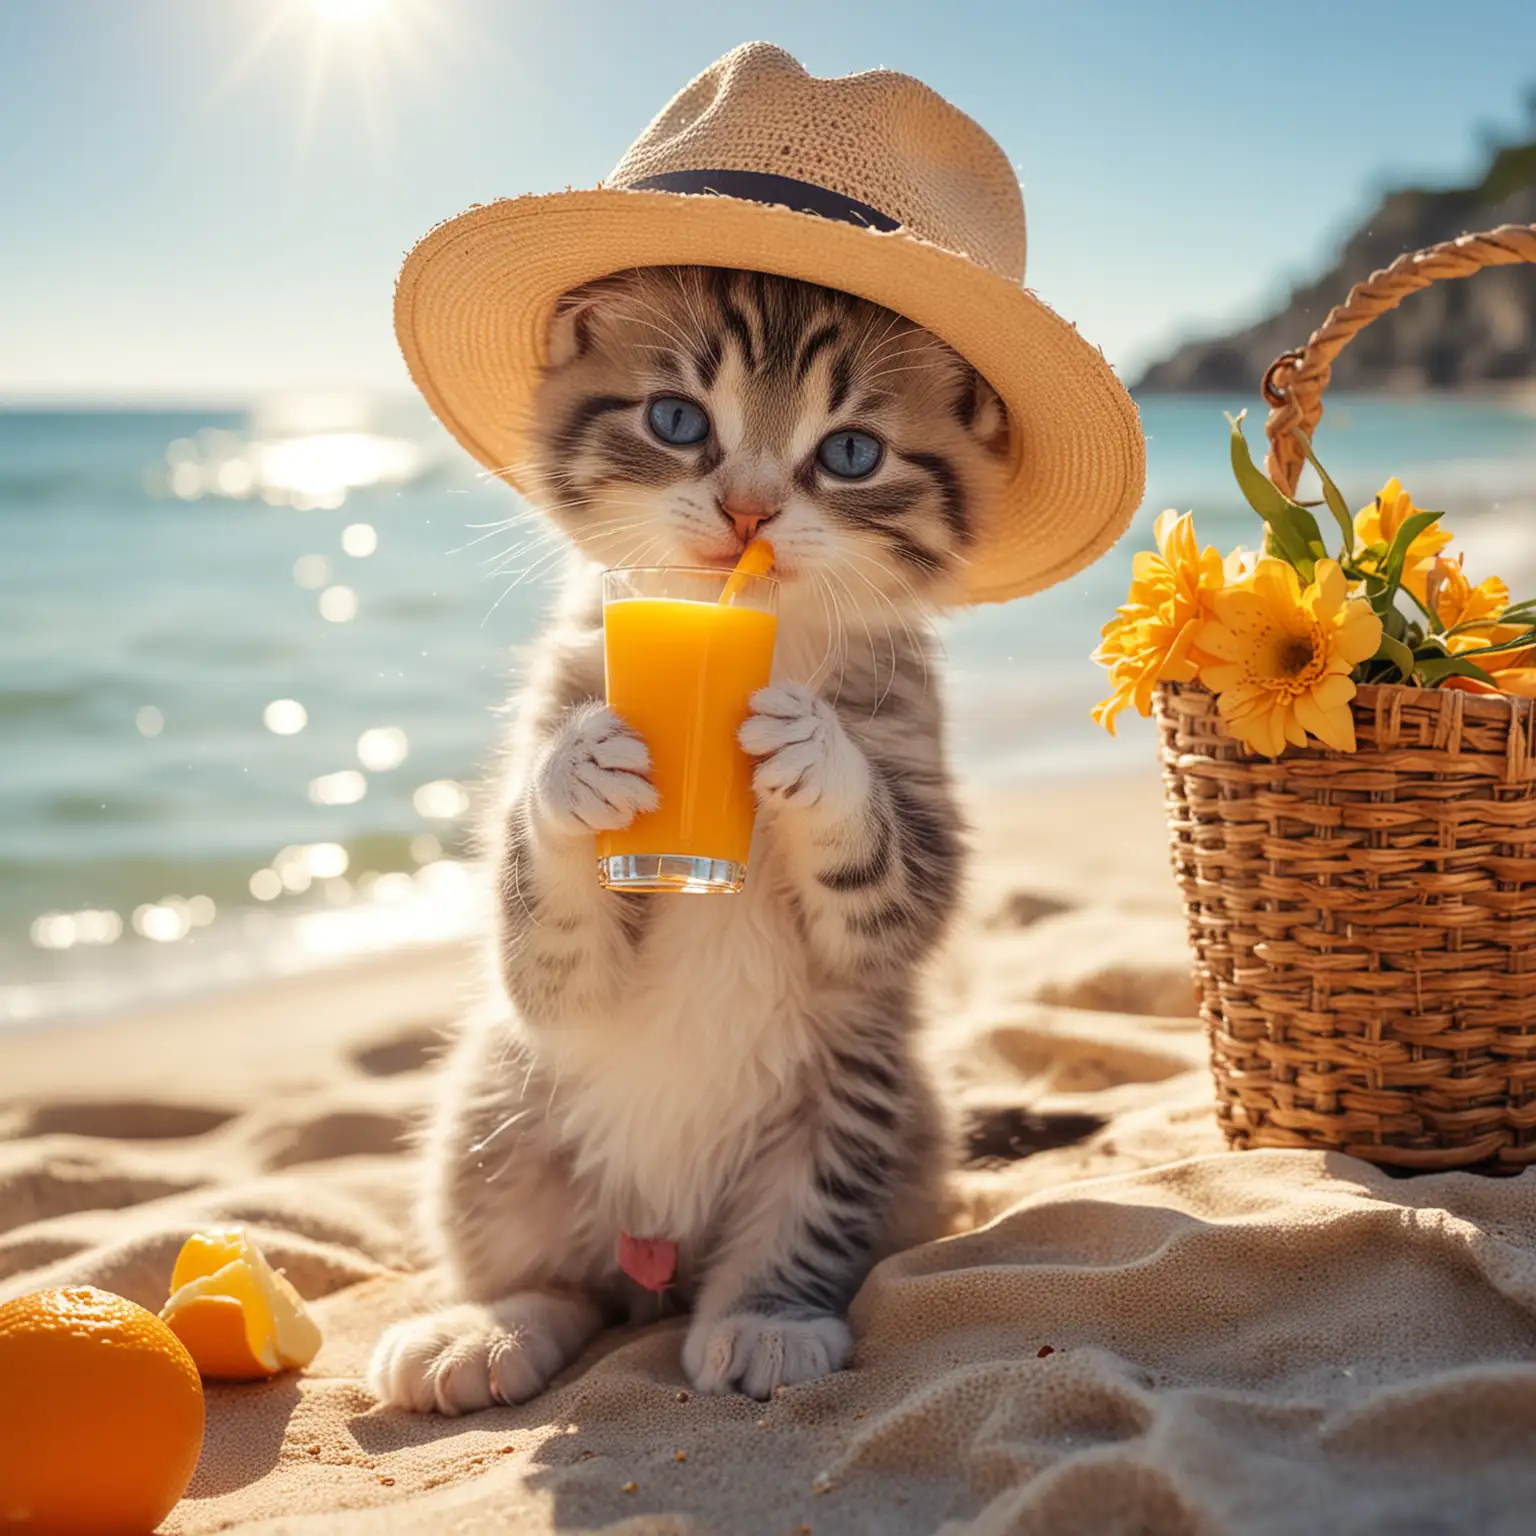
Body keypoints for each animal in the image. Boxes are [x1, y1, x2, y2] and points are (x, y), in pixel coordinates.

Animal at [367, 267, 1013, 1413]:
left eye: (851, 452)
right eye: (675, 421)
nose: (747, 510)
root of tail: (658, 1253)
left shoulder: (901, 860)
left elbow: (892, 901)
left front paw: (817, 753)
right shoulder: (549, 955)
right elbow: (546, 959)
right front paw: (575, 777)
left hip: (861, 1099)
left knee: (804, 1220)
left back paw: (766, 1317)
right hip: (499, 1109)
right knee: (557, 1277)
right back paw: (489, 1326)